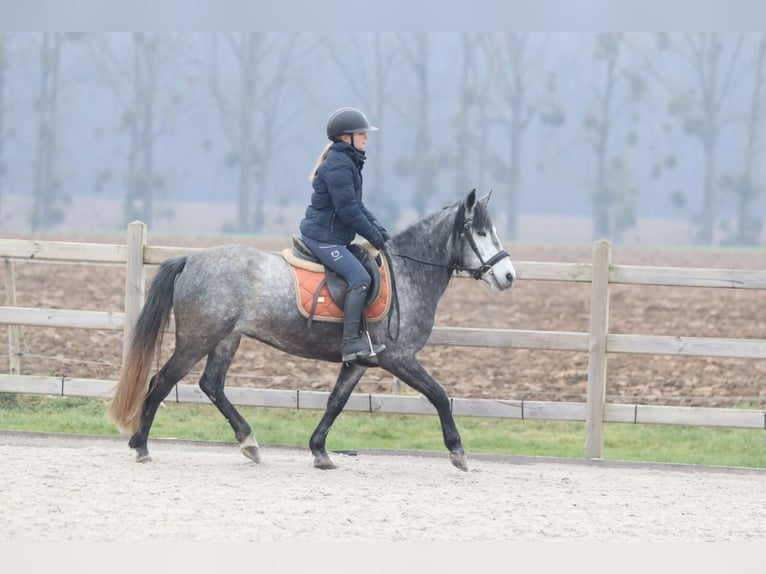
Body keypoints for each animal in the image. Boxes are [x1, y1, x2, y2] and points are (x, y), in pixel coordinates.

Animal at [107, 189, 516, 471]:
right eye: (481, 232)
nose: (509, 275)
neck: (408, 273)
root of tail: (191, 258)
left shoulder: (360, 362)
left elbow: (336, 402)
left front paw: (319, 450)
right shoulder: (398, 358)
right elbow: (439, 395)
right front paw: (458, 451)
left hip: (226, 339)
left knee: (212, 385)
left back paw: (248, 442)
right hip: (197, 339)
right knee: (162, 381)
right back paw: (141, 445)